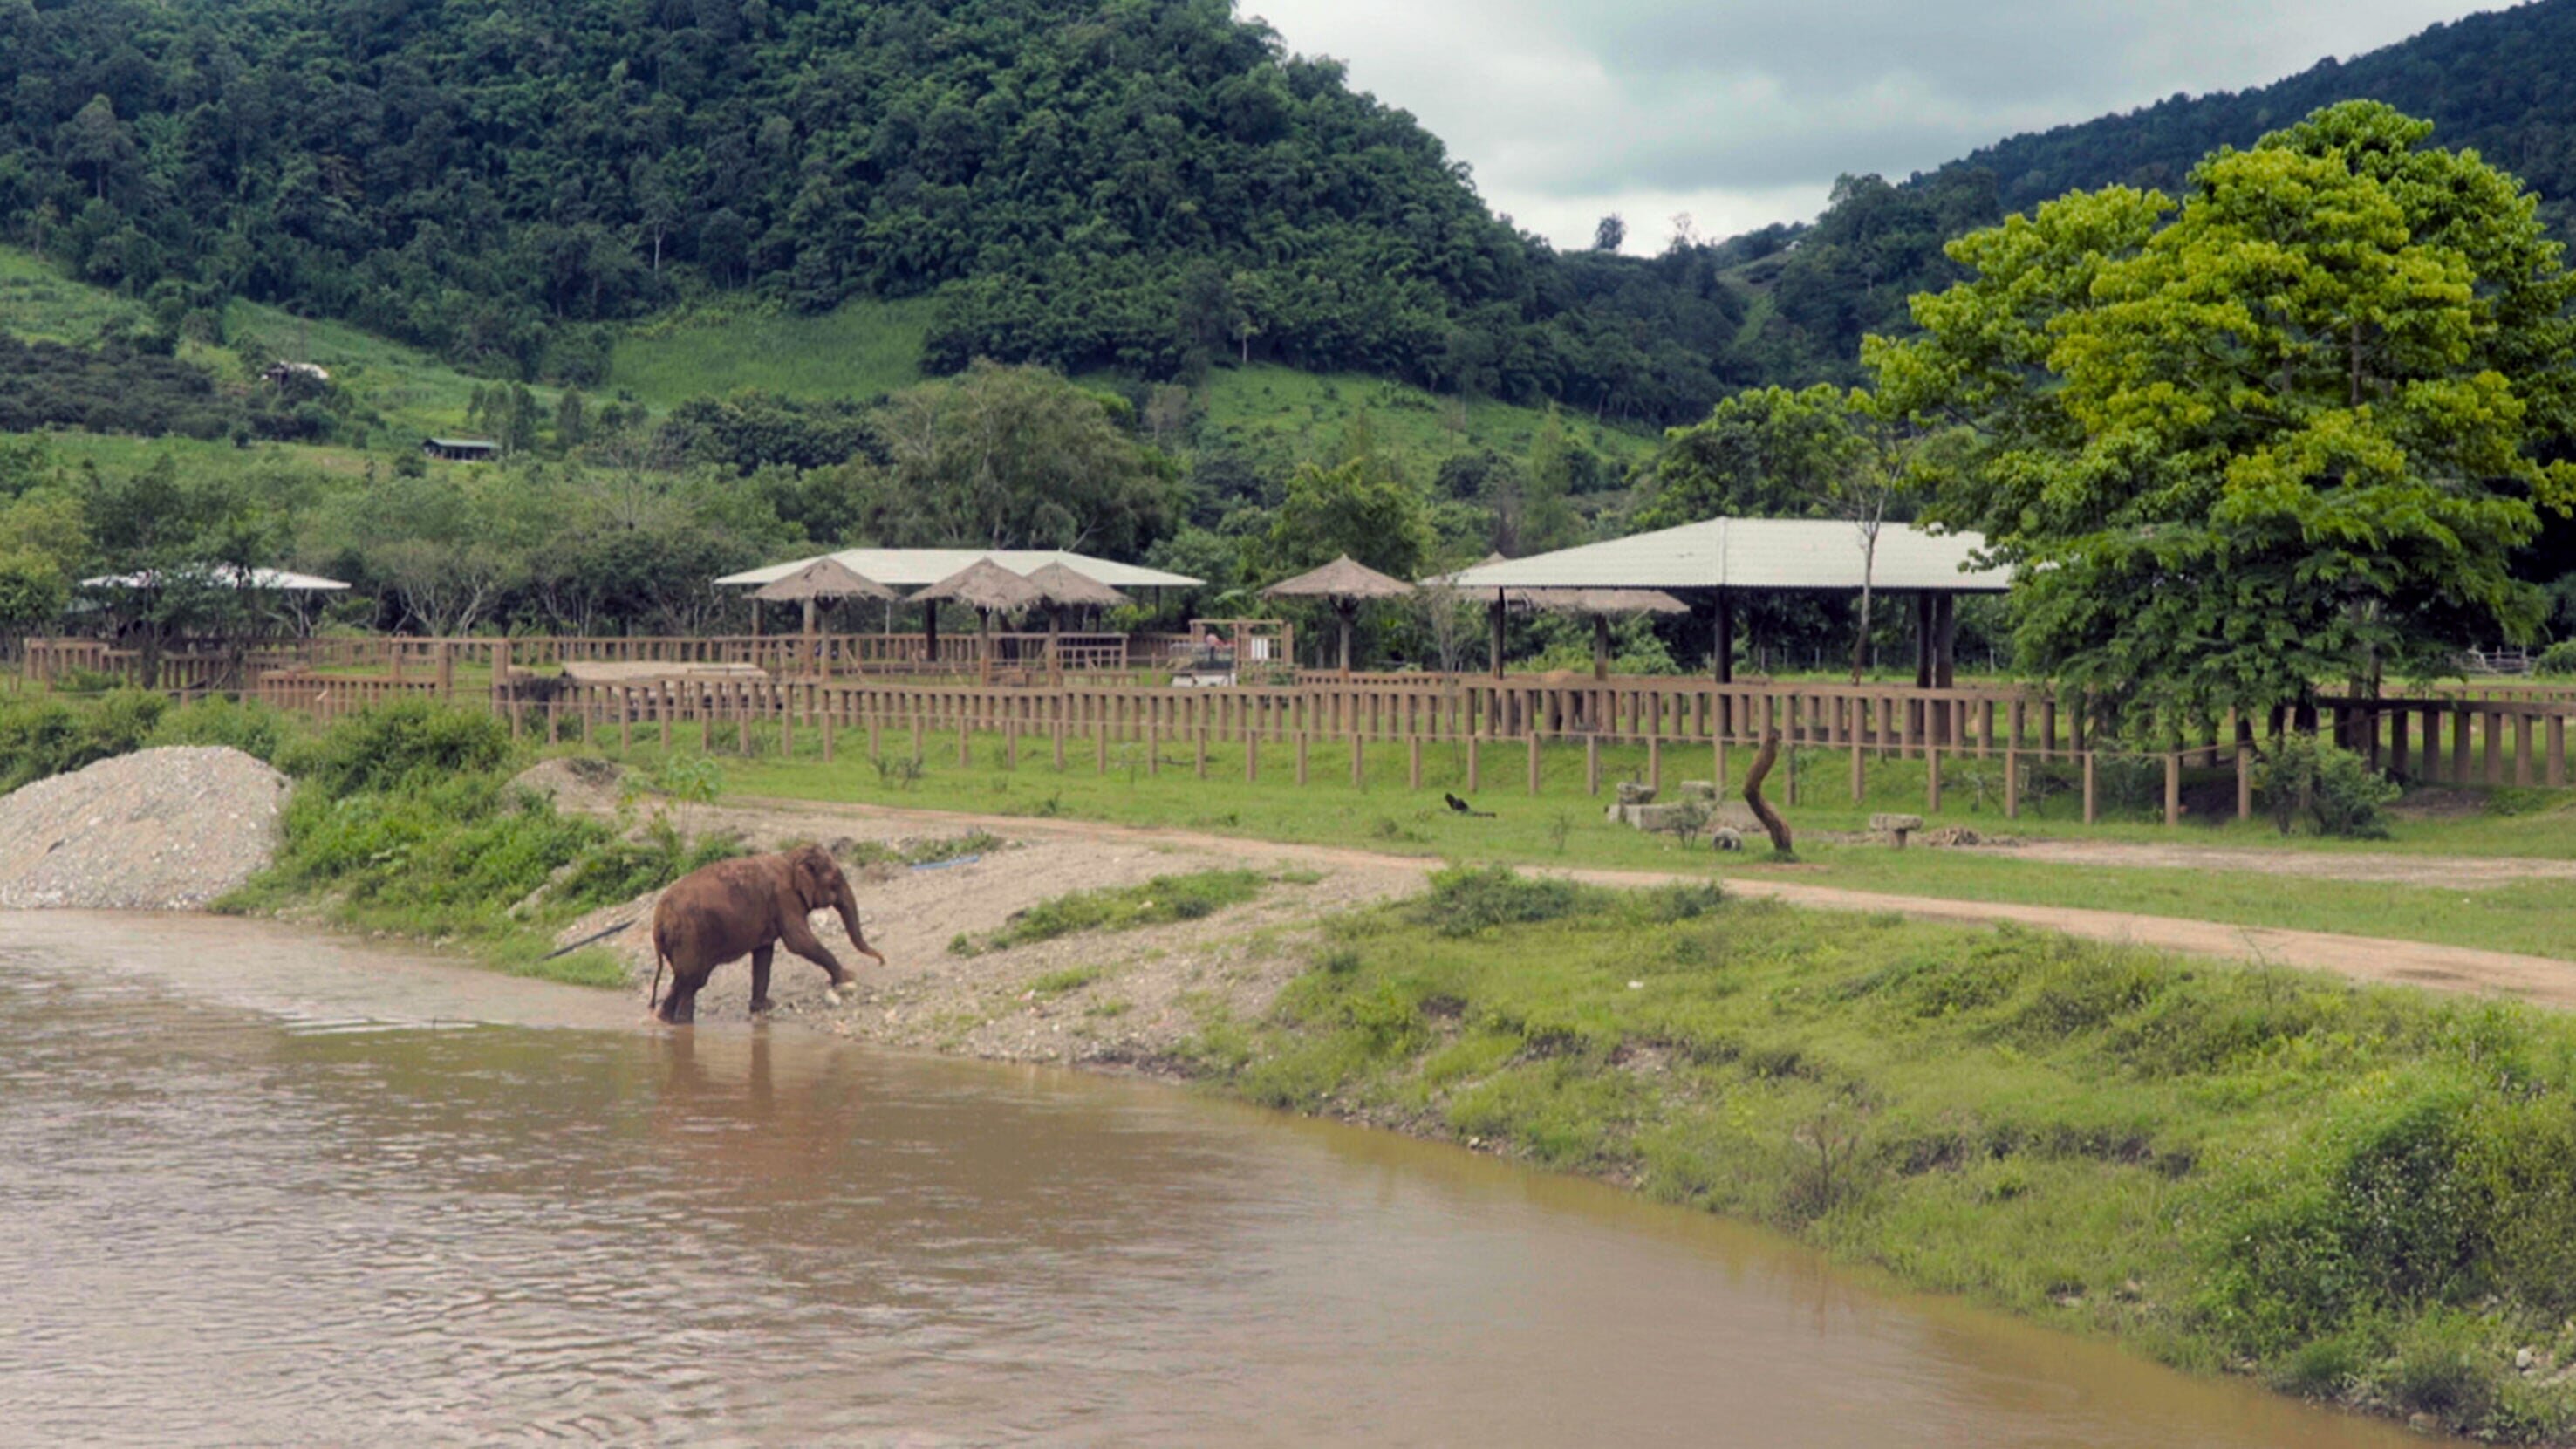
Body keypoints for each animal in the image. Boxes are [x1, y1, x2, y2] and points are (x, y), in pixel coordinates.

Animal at [649, 840, 891, 1021]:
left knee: (686, 980)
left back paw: (666, 1019)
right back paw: (682, 1023)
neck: (791, 858)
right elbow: (799, 942)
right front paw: (847, 978)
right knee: (691, 981)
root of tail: (657, 919)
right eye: (835, 880)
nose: (882, 962)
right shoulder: (785, 898)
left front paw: (764, 1007)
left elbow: (764, 952)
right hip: (689, 937)